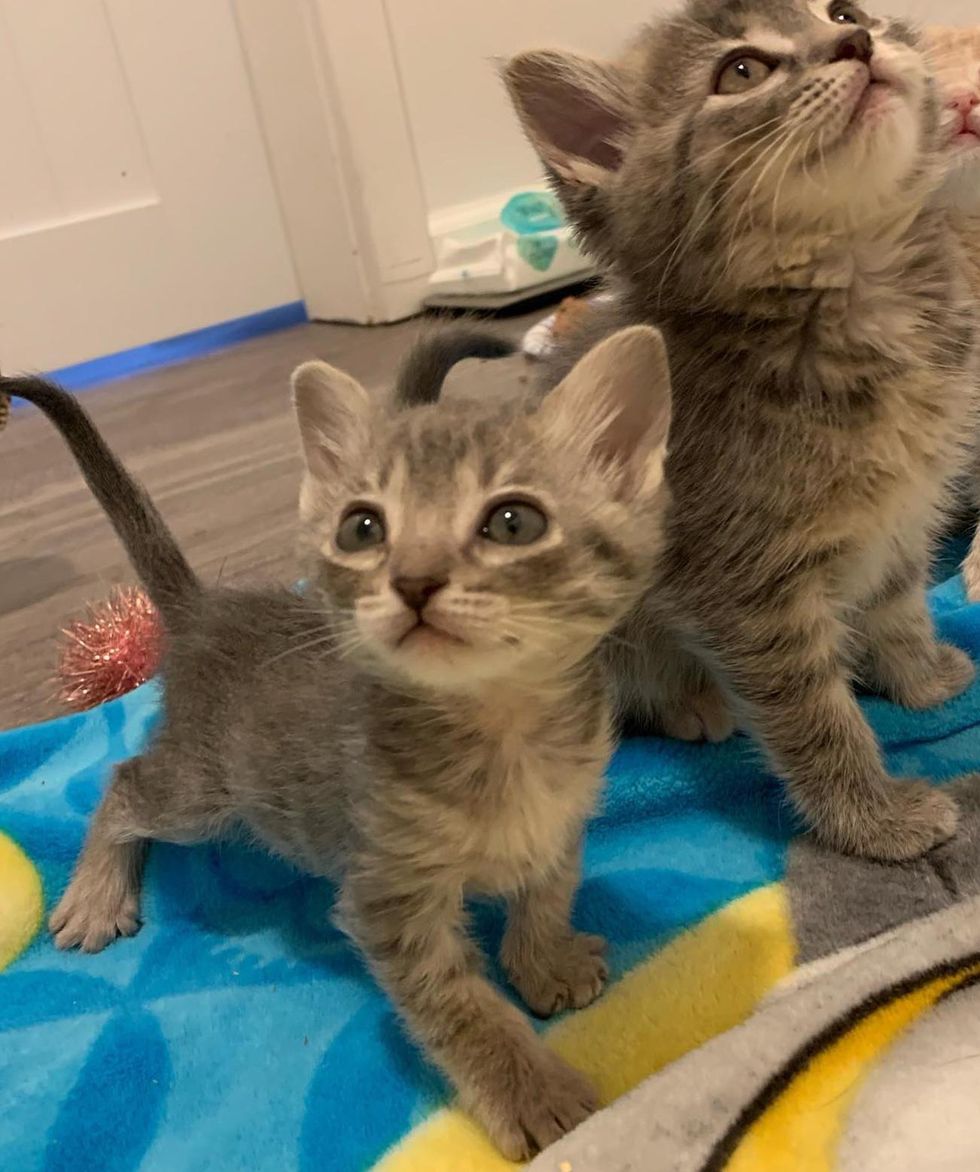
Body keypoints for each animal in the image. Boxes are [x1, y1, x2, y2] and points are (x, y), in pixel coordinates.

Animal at [0, 323, 675, 1162]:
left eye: (513, 522)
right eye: (363, 528)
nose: (413, 581)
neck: (505, 732)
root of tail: (209, 612)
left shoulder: (562, 817)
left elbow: (549, 890)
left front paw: (545, 960)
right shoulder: (386, 897)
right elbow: (459, 1005)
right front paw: (532, 1092)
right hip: (208, 793)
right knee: (125, 778)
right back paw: (95, 893)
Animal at [506, 0, 980, 862]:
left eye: (845, 10)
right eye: (742, 73)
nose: (856, 41)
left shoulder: (904, 514)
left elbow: (899, 604)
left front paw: (922, 678)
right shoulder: (742, 586)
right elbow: (813, 712)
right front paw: (874, 819)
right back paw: (685, 702)